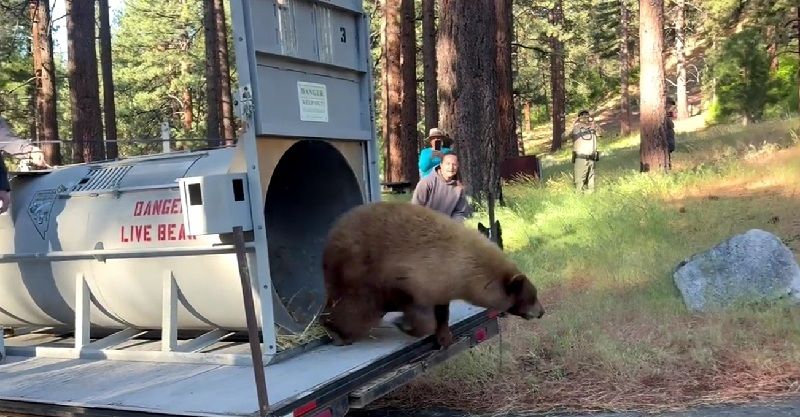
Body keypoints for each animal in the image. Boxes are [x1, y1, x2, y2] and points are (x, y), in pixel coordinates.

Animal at [319, 201, 544, 348]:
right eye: (531, 297)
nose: (542, 312)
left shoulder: (442, 285)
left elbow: (442, 311)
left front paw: (444, 336)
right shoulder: (412, 274)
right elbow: (419, 310)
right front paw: (405, 324)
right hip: (355, 271)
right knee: (353, 308)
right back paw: (337, 332)